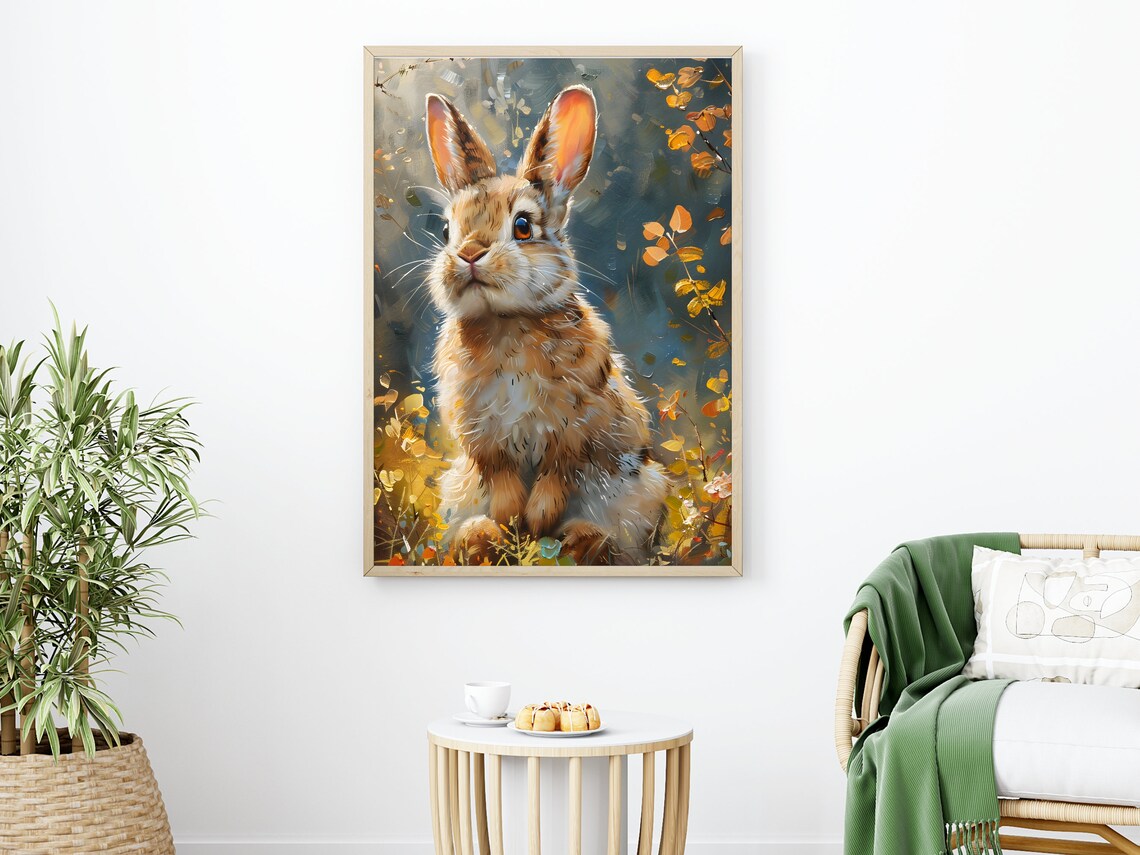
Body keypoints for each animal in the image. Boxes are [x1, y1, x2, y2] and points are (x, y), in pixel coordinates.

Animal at [422, 84, 668, 565]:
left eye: (522, 226)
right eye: (445, 231)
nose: (469, 254)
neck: (506, 323)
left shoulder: (574, 432)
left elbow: (557, 478)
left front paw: (536, 524)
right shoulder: (485, 441)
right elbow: (501, 483)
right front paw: (509, 524)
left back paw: (583, 541)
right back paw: (477, 539)